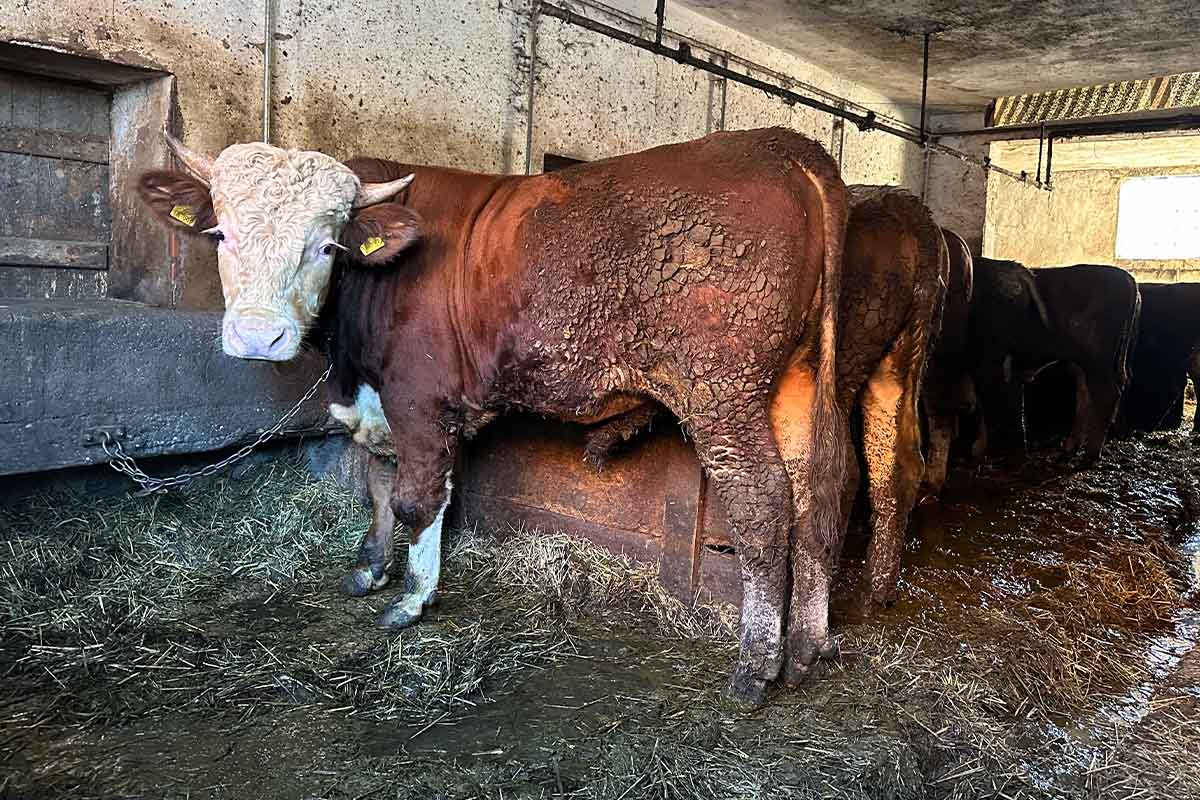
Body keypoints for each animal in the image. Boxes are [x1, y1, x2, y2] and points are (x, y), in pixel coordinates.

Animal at [138, 126, 854, 705]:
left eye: (326, 247)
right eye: (223, 233)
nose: (260, 337)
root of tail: (782, 146)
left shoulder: (418, 398)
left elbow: (418, 498)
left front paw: (412, 599)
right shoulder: (377, 400)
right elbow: (376, 479)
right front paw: (370, 567)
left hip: (723, 391)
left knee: (764, 508)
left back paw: (754, 668)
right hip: (795, 382)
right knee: (818, 497)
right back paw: (804, 651)